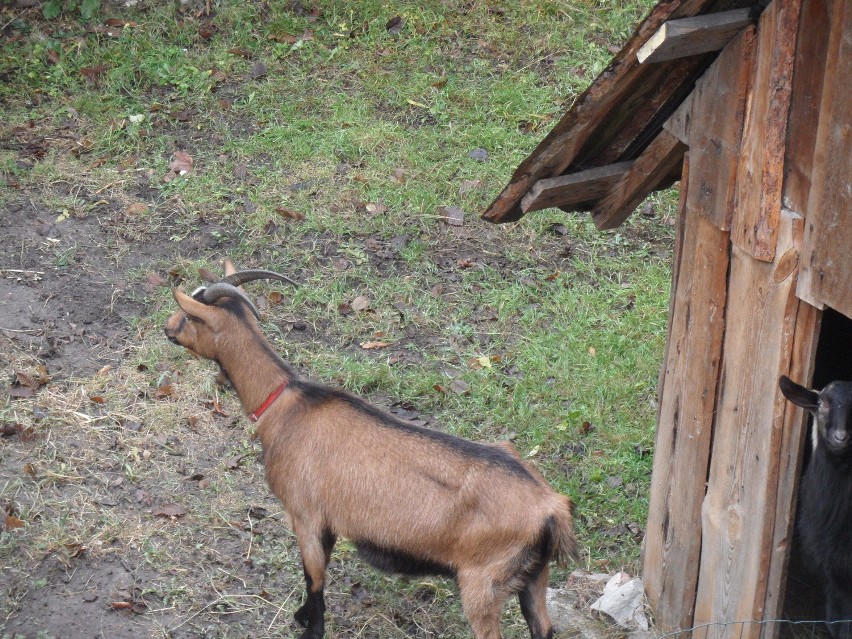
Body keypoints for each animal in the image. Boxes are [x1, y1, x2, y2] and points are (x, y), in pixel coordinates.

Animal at [165, 264, 580, 639]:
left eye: (188, 315)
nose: (167, 329)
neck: (287, 406)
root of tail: (550, 508)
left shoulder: (305, 514)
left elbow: (314, 577)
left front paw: (309, 628)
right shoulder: (328, 521)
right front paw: (300, 615)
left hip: (483, 583)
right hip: (533, 576)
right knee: (543, 628)